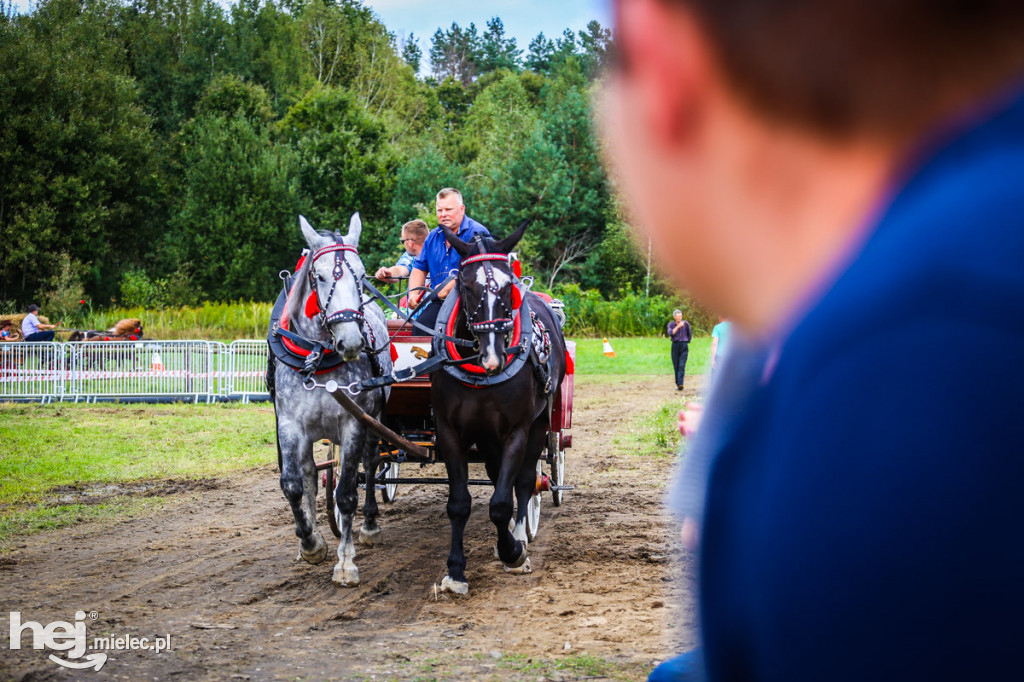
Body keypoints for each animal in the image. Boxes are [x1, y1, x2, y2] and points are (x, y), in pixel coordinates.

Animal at [272, 212, 391, 585]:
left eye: (363, 276)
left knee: (371, 464)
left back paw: (370, 524)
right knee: (311, 473)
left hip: (374, 421)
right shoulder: (290, 425)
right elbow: (294, 484)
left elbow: (347, 493)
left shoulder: (354, 423)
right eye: (320, 276)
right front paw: (310, 543)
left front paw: (345, 562)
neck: (319, 357)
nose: (351, 341)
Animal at [428, 220, 565, 593]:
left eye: (507, 286)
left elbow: (503, 502)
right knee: (495, 472)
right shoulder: (450, 432)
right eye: (465, 285)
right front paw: (455, 571)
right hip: (486, 436)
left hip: (539, 423)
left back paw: (519, 535)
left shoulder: (517, 430)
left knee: (526, 479)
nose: (492, 357)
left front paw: (512, 552)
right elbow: (459, 503)